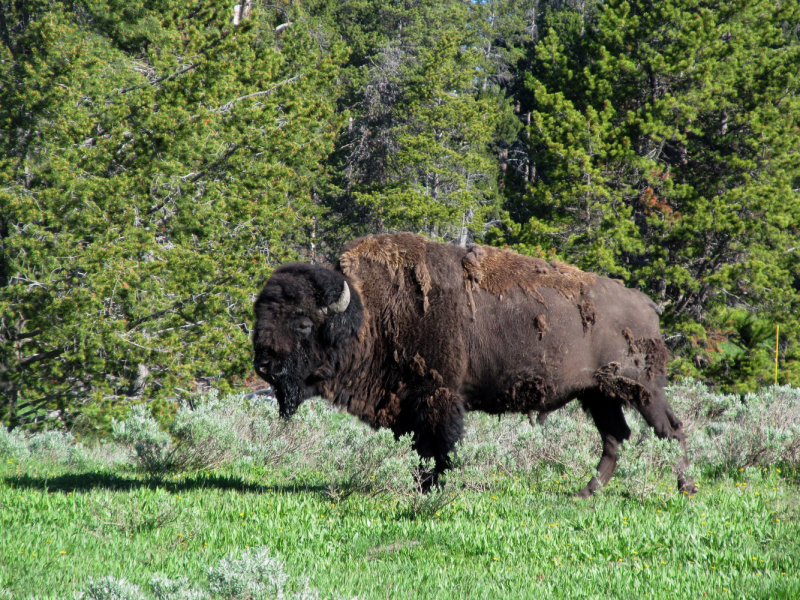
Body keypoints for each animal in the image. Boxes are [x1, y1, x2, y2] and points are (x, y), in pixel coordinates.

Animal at [253, 232, 696, 494]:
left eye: (303, 323)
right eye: (261, 315)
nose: (264, 365)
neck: (367, 313)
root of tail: (646, 304)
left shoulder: (438, 397)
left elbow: (438, 448)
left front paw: (431, 489)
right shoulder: (409, 405)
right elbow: (419, 449)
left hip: (642, 389)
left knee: (670, 430)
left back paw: (685, 487)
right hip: (598, 394)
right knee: (615, 438)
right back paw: (587, 492)